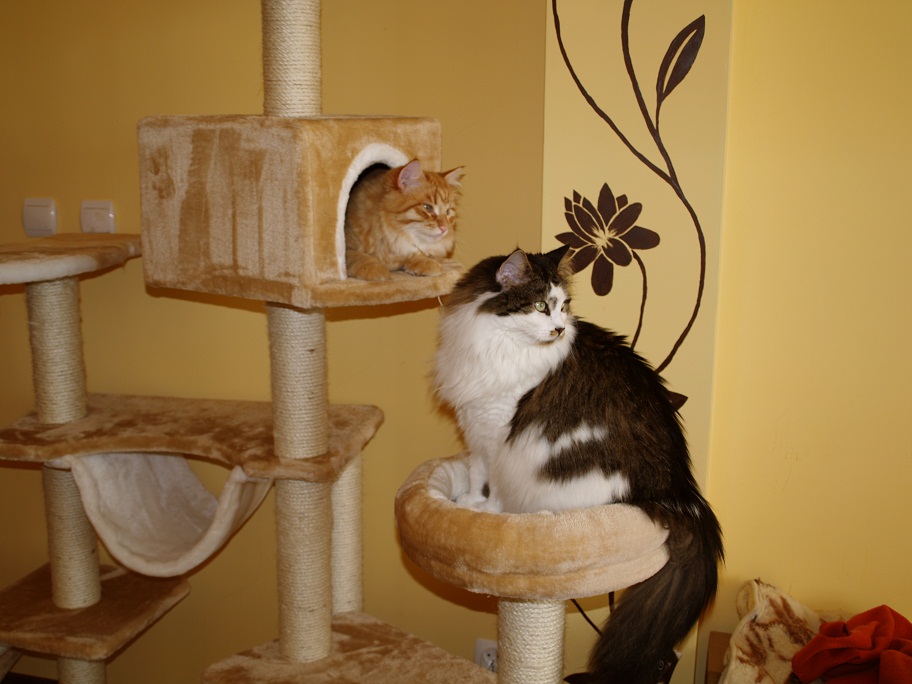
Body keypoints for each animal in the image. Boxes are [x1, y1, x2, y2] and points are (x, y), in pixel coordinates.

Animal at [433, 246, 723, 684]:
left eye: (563, 306)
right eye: (540, 306)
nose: (557, 329)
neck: (496, 343)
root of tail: (678, 493)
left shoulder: (500, 433)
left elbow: (495, 485)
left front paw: (486, 512)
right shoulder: (476, 427)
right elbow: (476, 474)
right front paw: (466, 503)